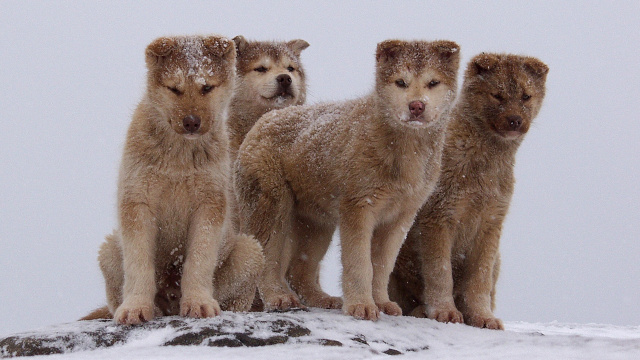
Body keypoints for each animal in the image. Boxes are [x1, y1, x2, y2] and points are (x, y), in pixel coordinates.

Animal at [82, 35, 262, 324]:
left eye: (207, 87)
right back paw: (153, 309)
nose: (191, 121)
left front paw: (199, 303)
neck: (179, 156)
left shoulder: (210, 203)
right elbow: (139, 261)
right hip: (109, 249)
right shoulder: (137, 200)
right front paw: (135, 307)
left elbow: (199, 259)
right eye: (174, 89)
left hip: (250, 251)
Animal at [235, 39, 460, 320]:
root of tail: (264, 120)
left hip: (316, 223)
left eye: (433, 83)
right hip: (272, 206)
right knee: (268, 257)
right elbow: (360, 263)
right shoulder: (358, 207)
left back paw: (321, 299)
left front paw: (381, 302)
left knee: (300, 270)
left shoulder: (400, 218)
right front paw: (361, 306)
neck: (405, 150)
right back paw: (279, 297)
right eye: (400, 82)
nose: (417, 105)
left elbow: (382, 265)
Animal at [390, 52, 552, 330]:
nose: (515, 120)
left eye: (526, 96)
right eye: (497, 95)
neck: (483, 172)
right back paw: (421, 310)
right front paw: (445, 312)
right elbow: (440, 272)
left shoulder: (491, 221)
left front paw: (483, 317)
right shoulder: (438, 215)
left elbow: (479, 280)